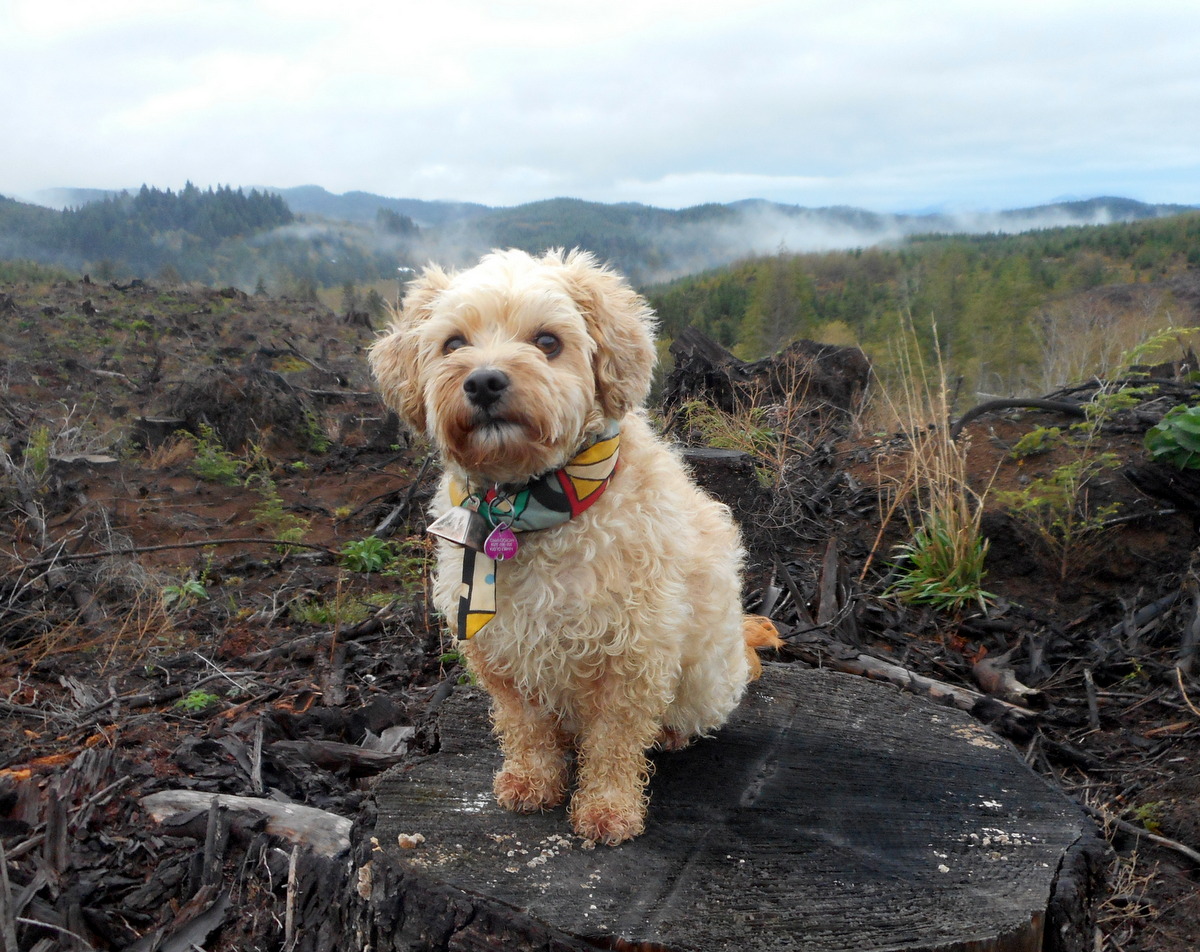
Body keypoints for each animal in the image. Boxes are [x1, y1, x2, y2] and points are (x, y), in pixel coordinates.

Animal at [367, 248, 777, 845]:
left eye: (547, 341)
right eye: (453, 343)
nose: (484, 382)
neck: (527, 506)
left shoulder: (633, 654)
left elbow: (614, 742)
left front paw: (608, 810)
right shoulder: (503, 652)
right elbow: (527, 727)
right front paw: (533, 781)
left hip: (706, 676)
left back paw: (672, 732)